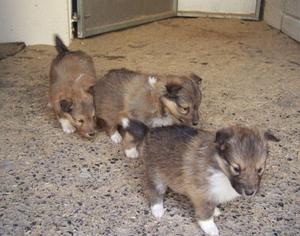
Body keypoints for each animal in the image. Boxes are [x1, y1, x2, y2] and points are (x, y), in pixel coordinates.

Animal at [122, 121, 278, 235]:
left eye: (260, 169)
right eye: (236, 168)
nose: (250, 193)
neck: (219, 168)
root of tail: (149, 131)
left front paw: (215, 210)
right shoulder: (201, 192)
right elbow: (205, 212)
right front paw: (210, 228)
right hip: (156, 174)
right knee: (153, 190)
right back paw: (158, 210)